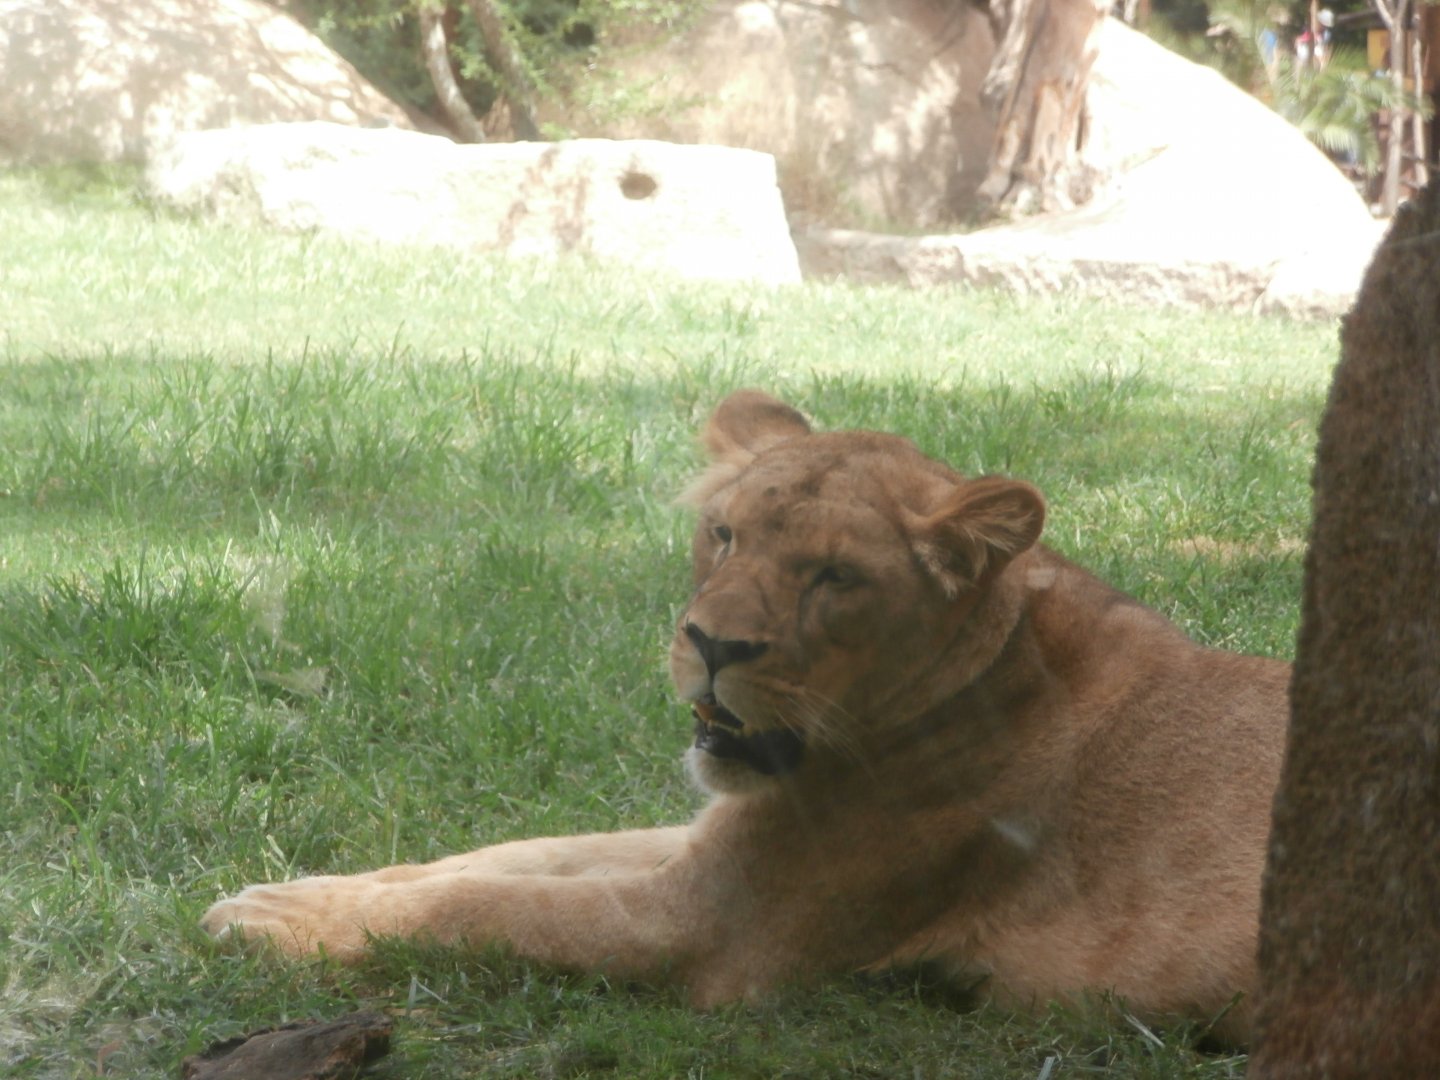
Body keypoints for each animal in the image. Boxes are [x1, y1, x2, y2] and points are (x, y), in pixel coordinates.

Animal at [202, 389, 1289, 1044]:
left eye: (836, 577)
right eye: (724, 535)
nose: (712, 645)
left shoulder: (709, 926)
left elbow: (487, 906)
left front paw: (273, 925)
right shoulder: (713, 838)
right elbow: (503, 856)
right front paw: (289, 893)